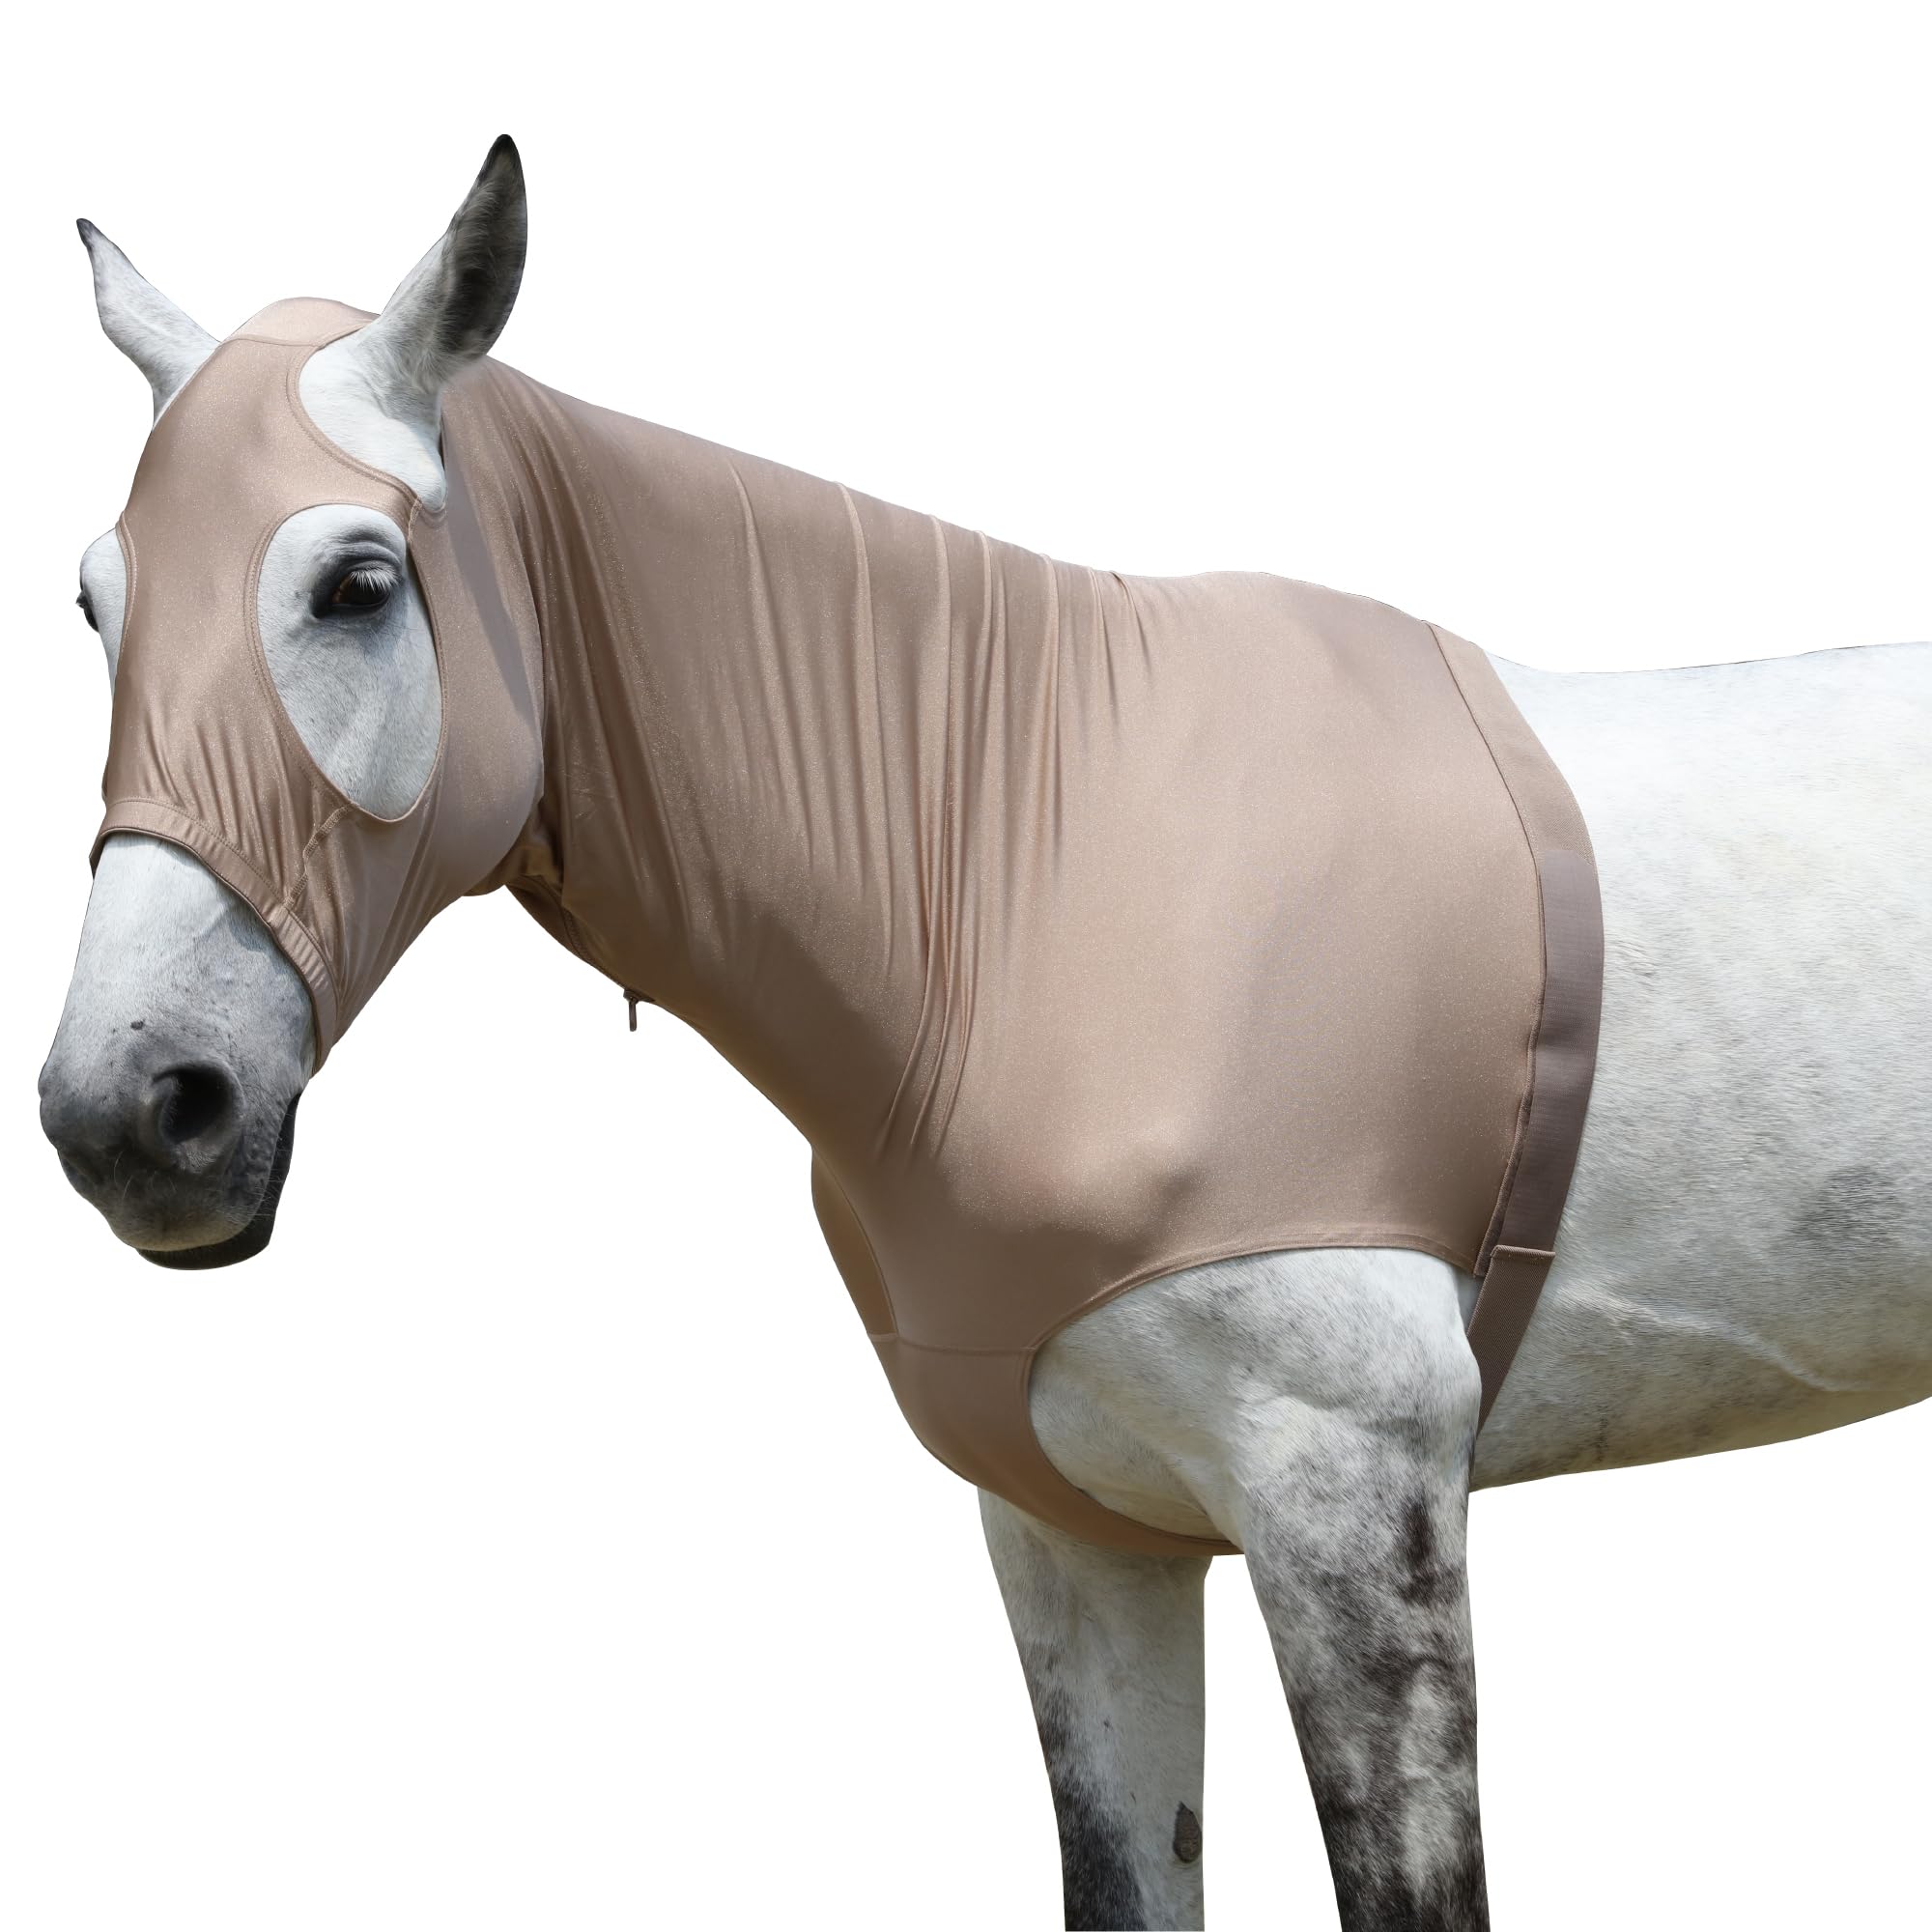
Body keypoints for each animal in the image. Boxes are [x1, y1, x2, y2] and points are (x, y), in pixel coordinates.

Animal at [38, 136, 1931, 1931]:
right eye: (92, 601)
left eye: (357, 583)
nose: (132, 1112)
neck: (1040, 882)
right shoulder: (1074, 1535)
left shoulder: (1357, 1505)